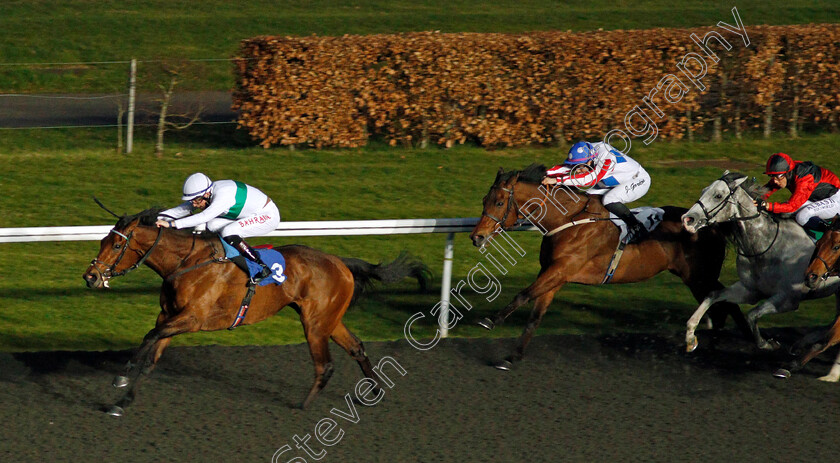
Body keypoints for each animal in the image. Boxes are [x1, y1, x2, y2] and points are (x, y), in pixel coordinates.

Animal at [83, 208, 430, 416]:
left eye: (117, 246)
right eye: (101, 241)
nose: (90, 277)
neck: (186, 264)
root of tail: (341, 262)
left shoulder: (191, 320)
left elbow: (149, 337)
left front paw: (121, 376)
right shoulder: (169, 316)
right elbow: (151, 356)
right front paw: (122, 402)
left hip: (315, 323)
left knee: (325, 364)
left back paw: (303, 404)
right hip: (330, 320)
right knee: (356, 347)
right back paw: (375, 391)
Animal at [466, 164, 748, 370]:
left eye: (499, 203)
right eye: (483, 199)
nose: (476, 237)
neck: (567, 220)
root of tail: (712, 224)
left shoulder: (561, 269)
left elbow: (522, 294)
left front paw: (490, 320)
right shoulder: (553, 275)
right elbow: (535, 318)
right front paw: (512, 357)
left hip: (700, 276)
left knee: (726, 305)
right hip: (695, 278)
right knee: (721, 307)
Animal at [684, 172, 840, 358]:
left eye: (718, 196)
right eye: (703, 190)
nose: (687, 219)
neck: (766, 245)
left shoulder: (788, 298)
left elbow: (752, 315)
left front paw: (767, 344)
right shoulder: (750, 290)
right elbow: (713, 295)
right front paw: (690, 338)